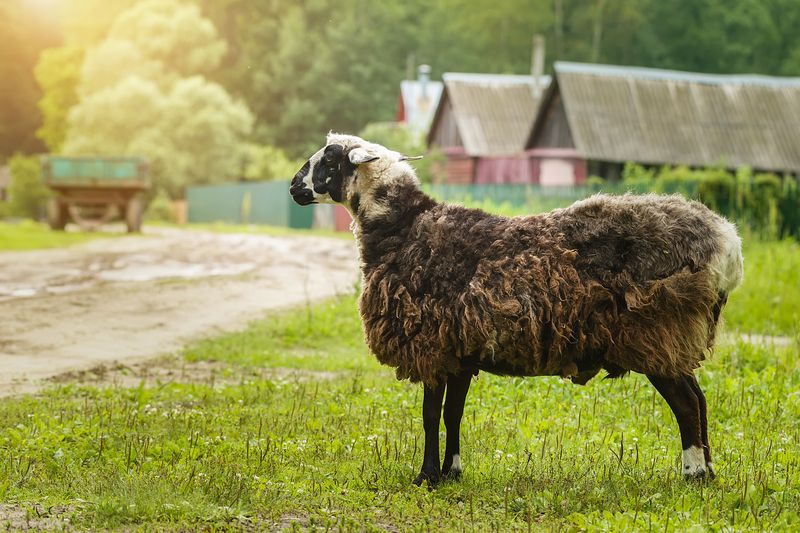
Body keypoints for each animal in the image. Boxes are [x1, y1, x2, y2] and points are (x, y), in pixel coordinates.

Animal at [289, 133, 744, 486]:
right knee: (700, 399)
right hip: (672, 340)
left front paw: (426, 476)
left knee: (686, 403)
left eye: (328, 159)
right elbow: (453, 414)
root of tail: (727, 244)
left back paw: (692, 473)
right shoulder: (459, 353)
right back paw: (708, 472)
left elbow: (429, 415)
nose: (294, 187)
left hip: (659, 332)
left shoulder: (431, 346)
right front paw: (452, 472)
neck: (403, 227)